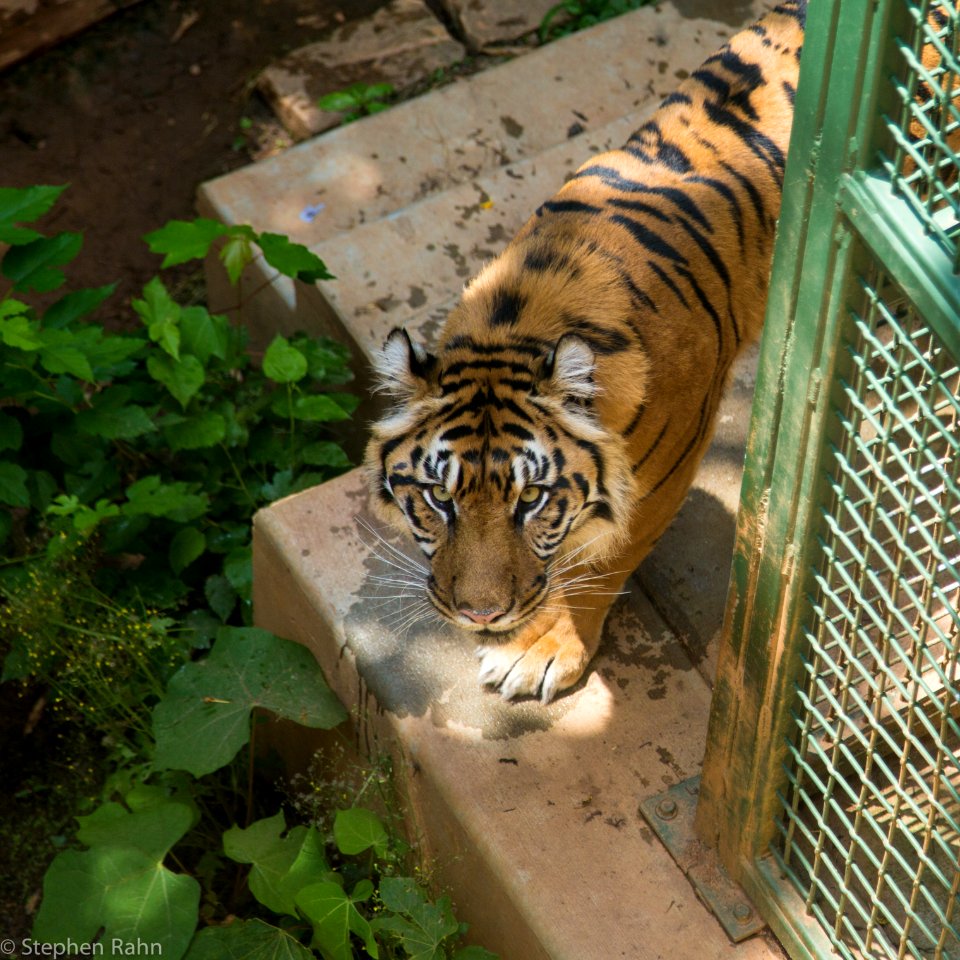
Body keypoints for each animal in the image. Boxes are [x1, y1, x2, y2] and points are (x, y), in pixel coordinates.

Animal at [364, 0, 808, 704]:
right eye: (439, 498)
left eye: (532, 500)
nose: (479, 615)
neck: (520, 321)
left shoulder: (664, 474)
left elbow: (603, 557)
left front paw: (544, 646)